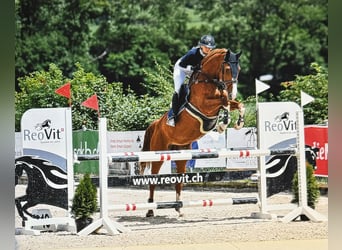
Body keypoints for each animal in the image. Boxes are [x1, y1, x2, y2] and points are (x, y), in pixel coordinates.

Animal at [140, 48, 244, 217]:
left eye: (239, 69)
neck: (209, 81)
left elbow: (238, 105)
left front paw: (238, 122)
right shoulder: (205, 105)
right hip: (159, 153)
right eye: (228, 69)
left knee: (179, 179)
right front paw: (223, 124)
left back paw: (179, 208)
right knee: (153, 180)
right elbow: (224, 102)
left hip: (181, 154)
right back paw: (150, 210)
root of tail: (156, 124)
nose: (233, 93)